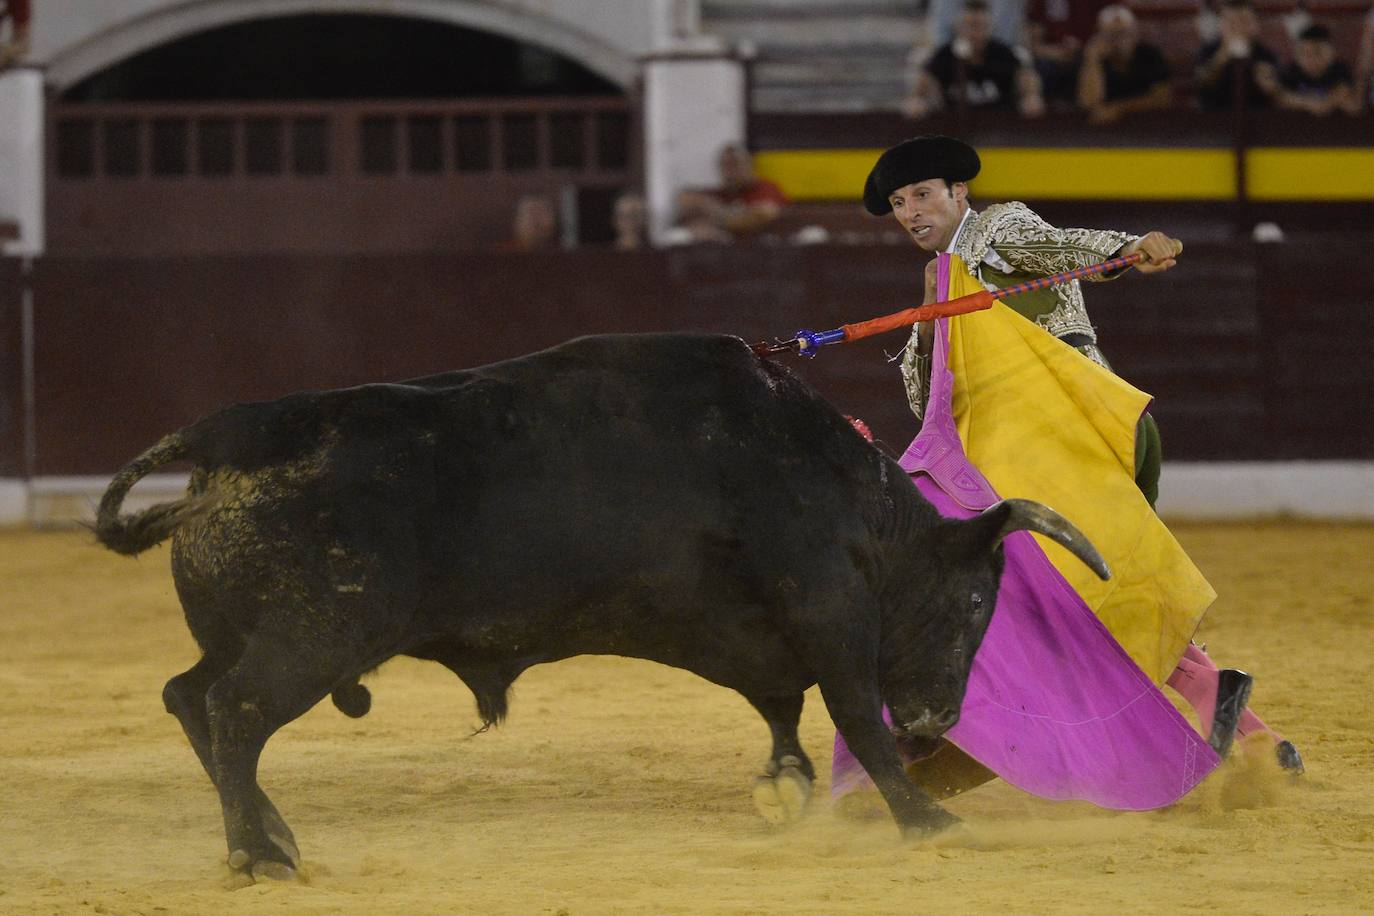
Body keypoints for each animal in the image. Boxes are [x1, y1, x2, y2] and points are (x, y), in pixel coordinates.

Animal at [94, 333, 1104, 878]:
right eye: (973, 600)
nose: (939, 720)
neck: (834, 485)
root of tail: (225, 437)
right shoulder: (830, 616)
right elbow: (854, 716)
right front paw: (927, 820)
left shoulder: (762, 636)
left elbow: (782, 708)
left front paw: (786, 787)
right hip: (311, 639)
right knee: (235, 710)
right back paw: (257, 855)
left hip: (247, 634)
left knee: (191, 697)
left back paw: (271, 830)